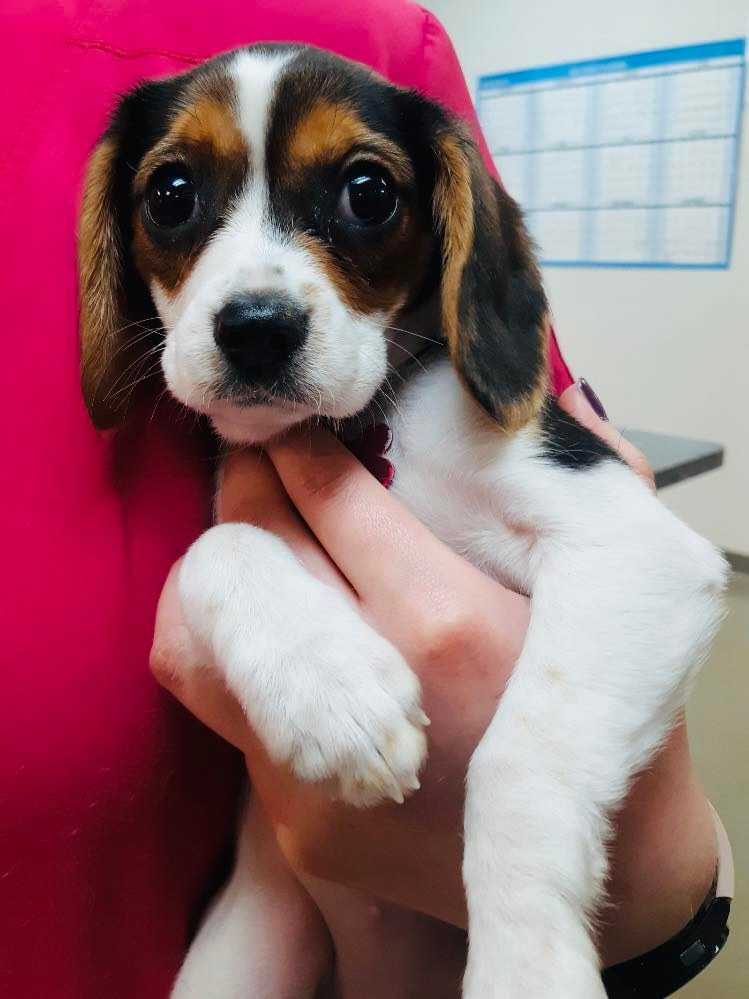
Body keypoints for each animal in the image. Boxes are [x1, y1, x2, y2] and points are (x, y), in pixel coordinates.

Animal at [77, 43, 724, 996]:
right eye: (171, 193)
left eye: (369, 191)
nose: (256, 329)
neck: (366, 433)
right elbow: (216, 545)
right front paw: (331, 691)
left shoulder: (637, 546)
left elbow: (516, 758)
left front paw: (523, 958)